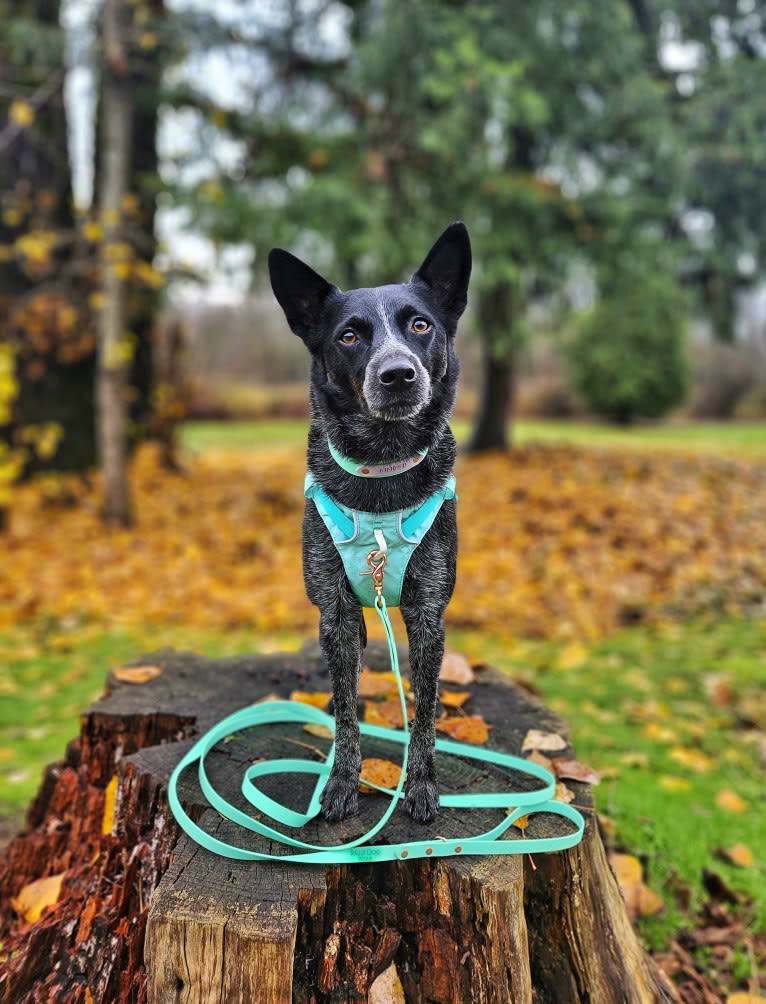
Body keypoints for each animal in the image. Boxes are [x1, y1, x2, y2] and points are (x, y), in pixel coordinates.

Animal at [269, 225, 473, 823]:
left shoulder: (429, 614)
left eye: (420, 325)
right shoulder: (334, 614)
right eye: (350, 336)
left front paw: (422, 784)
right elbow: (344, 711)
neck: (383, 466)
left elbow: (424, 712)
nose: (398, 373)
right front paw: (341, 780)